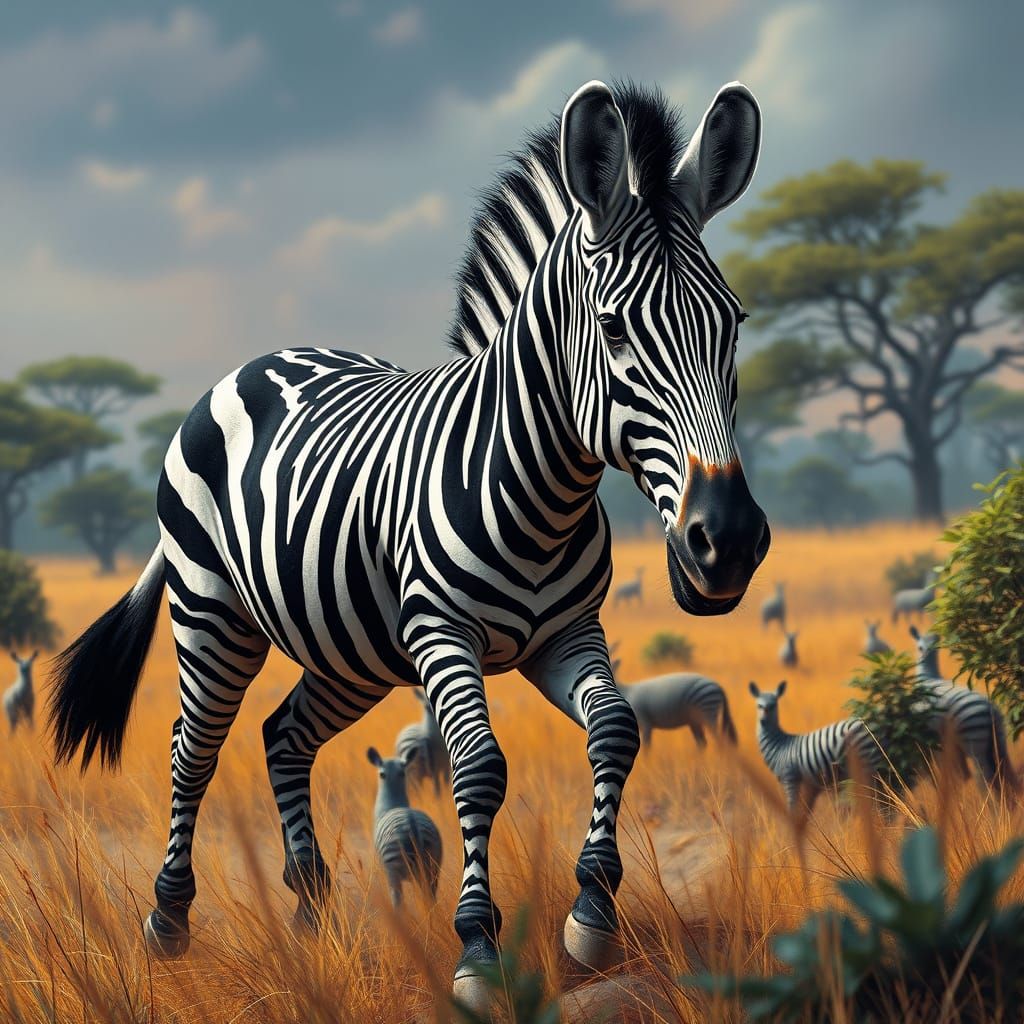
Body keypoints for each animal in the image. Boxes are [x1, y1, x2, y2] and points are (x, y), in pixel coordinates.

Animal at [367, 747, 443, 907]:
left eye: (381, 775)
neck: (393, 805)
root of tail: (412, 824)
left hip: (394, 868)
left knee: (398, 902)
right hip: (433, 868)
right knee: (431, 900)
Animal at [749, 681, 881, 811]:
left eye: (773, 705)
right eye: (759, 706)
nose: (763, 721)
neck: (778, 745)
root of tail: (865, 722)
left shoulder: (790, 778)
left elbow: (792, 808)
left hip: (866, 762)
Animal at [909, 626, 1016, 792]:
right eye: (920, 648)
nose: (923, 658)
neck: (928, 678)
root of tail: (991, 709)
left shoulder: (934, 740)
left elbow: (945, 774)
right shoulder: (948, 743)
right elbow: (960, 775)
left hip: (974, 741)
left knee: (985, 779)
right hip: (998, 741)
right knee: (1007, 778)